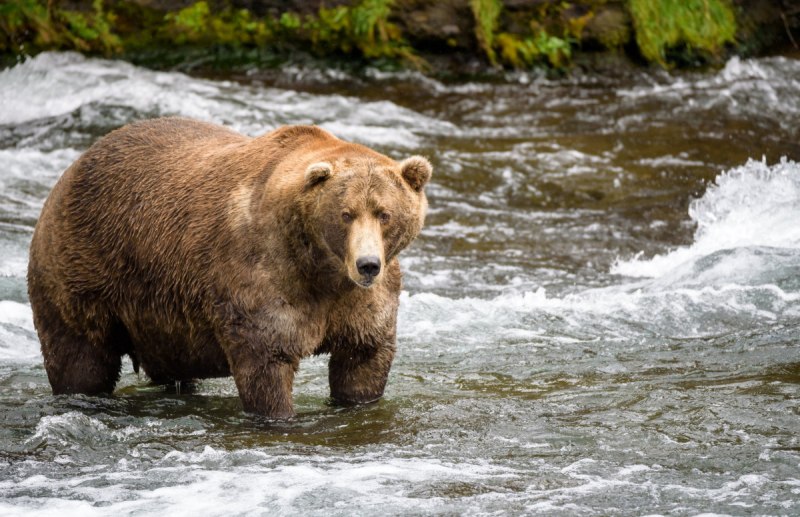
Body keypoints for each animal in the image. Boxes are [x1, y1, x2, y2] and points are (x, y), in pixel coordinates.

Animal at [27, 117, 432, 419]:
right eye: (346, 214)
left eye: (384, 213)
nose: (368, 265)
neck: (321, 269)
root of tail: (72, 168)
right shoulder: (263, 276)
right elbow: (266, 362)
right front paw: (278, 414)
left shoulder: (362, 302)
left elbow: (363, 360)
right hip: (83, 268)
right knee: (80, 357)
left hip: (159, 317)